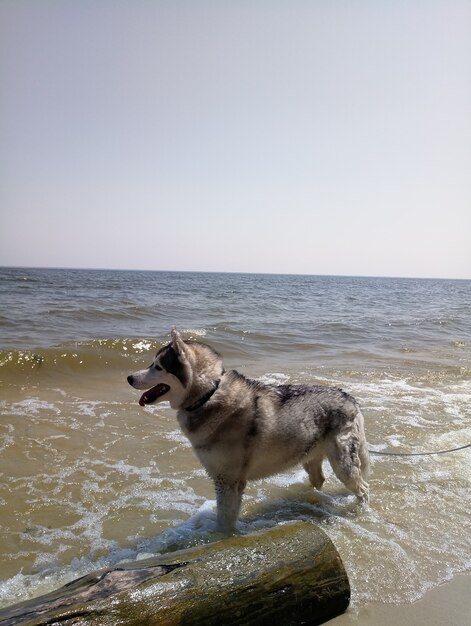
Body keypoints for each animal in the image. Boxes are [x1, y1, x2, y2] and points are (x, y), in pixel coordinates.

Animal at [127, 330, 370, 528]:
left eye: (158, 366)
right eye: (152, 363)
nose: (129, 377)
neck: (208, 396)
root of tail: (350, 397)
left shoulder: (228, 482)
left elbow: (224, 523)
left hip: (343, 465)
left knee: (364, 488)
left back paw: (361, 512)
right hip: (310, 459)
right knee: (319, 480)